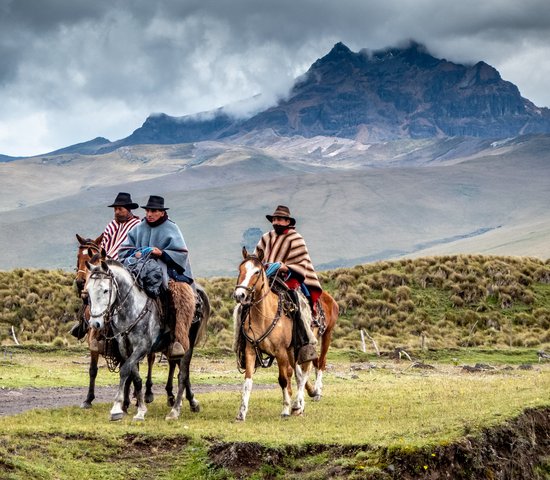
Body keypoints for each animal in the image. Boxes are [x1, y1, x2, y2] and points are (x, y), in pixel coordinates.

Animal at [85, 258, 208, 420]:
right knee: (183, 373)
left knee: (183, 375)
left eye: (105, 290)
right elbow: (135, 376)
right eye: (88, 291)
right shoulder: (125, 348)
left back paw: (175, 411)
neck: (132, 311)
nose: (95, 323)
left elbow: (125, 370)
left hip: (187, 343)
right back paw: (191, 403)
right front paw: (140, 409)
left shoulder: (143, 346)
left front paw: (116, 408)